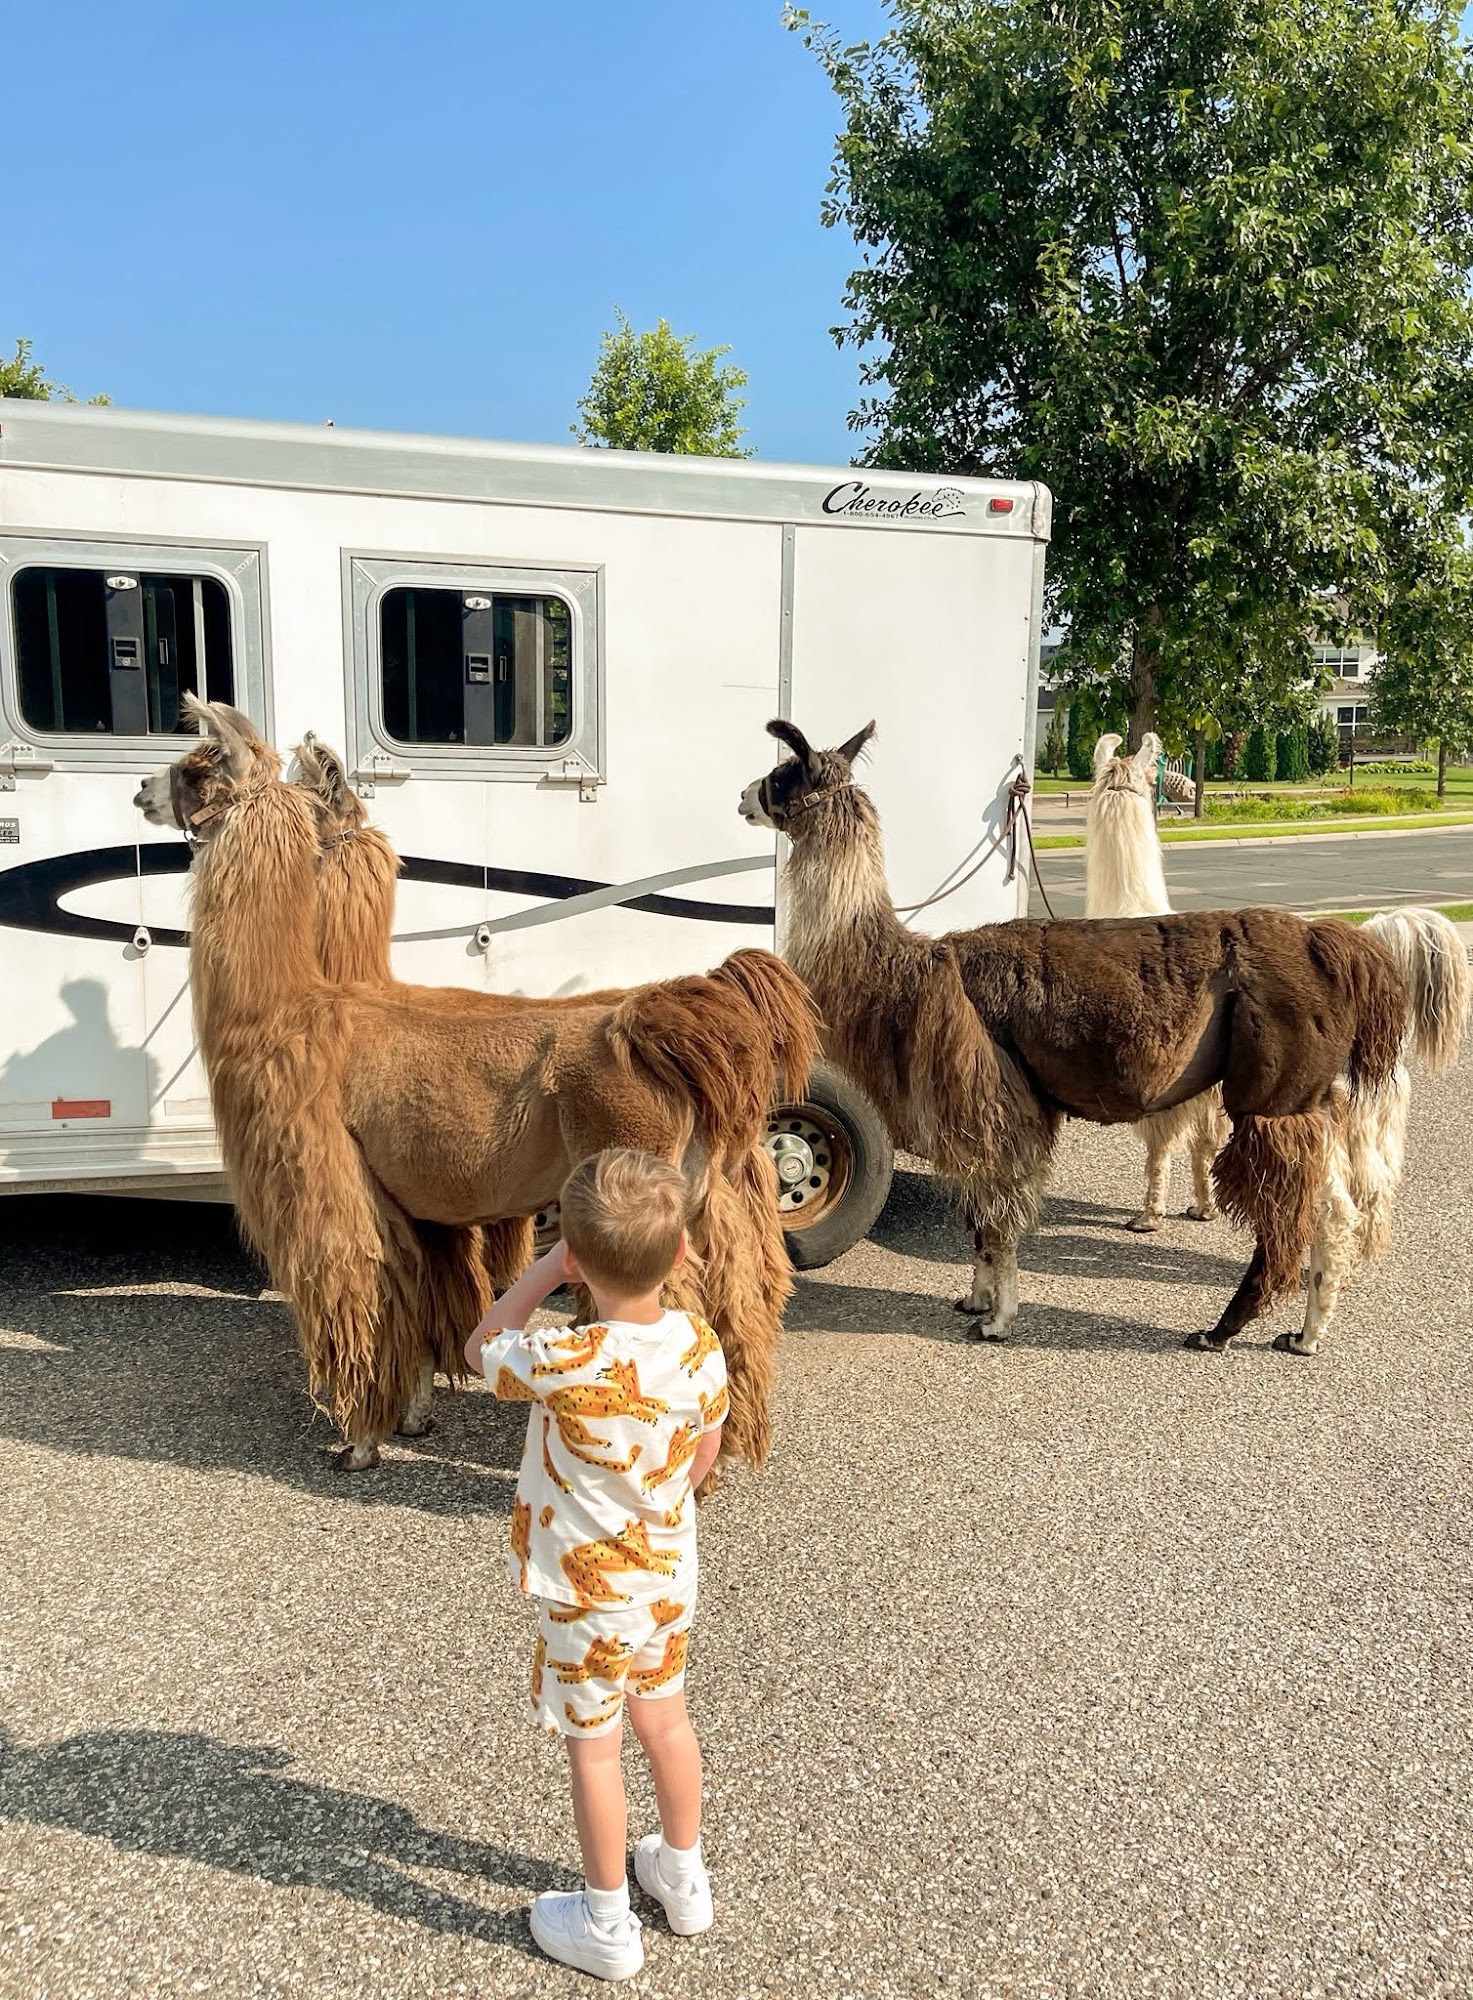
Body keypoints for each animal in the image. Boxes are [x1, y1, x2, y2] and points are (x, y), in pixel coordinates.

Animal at [135, 698, 818, 1470]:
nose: (140, 791)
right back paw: (728, 1448)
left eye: (195, 765)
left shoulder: (330, 1191)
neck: (298, 1007)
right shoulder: (420, 1205)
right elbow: (421, 1310)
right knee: (739, 1306)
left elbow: (357, 1303)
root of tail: (648, 1022)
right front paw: (413, 1416)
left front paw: (358, 1442)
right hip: (716, 1188)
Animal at [741, 718, 1467, 1356]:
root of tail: (1338, 943)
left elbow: (1000, 1219)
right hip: (1315, 1095)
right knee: (1340, 1206)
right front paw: (974, 1299)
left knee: (1312, 1208)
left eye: (780, 775)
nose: (744, 797)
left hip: (1275, 1092)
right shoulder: (991, 1106)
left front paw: (998, 1317)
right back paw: (1305, 1332)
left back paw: (1228, 1330)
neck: (903, 968)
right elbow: (981, 1218)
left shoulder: (993, 1098)